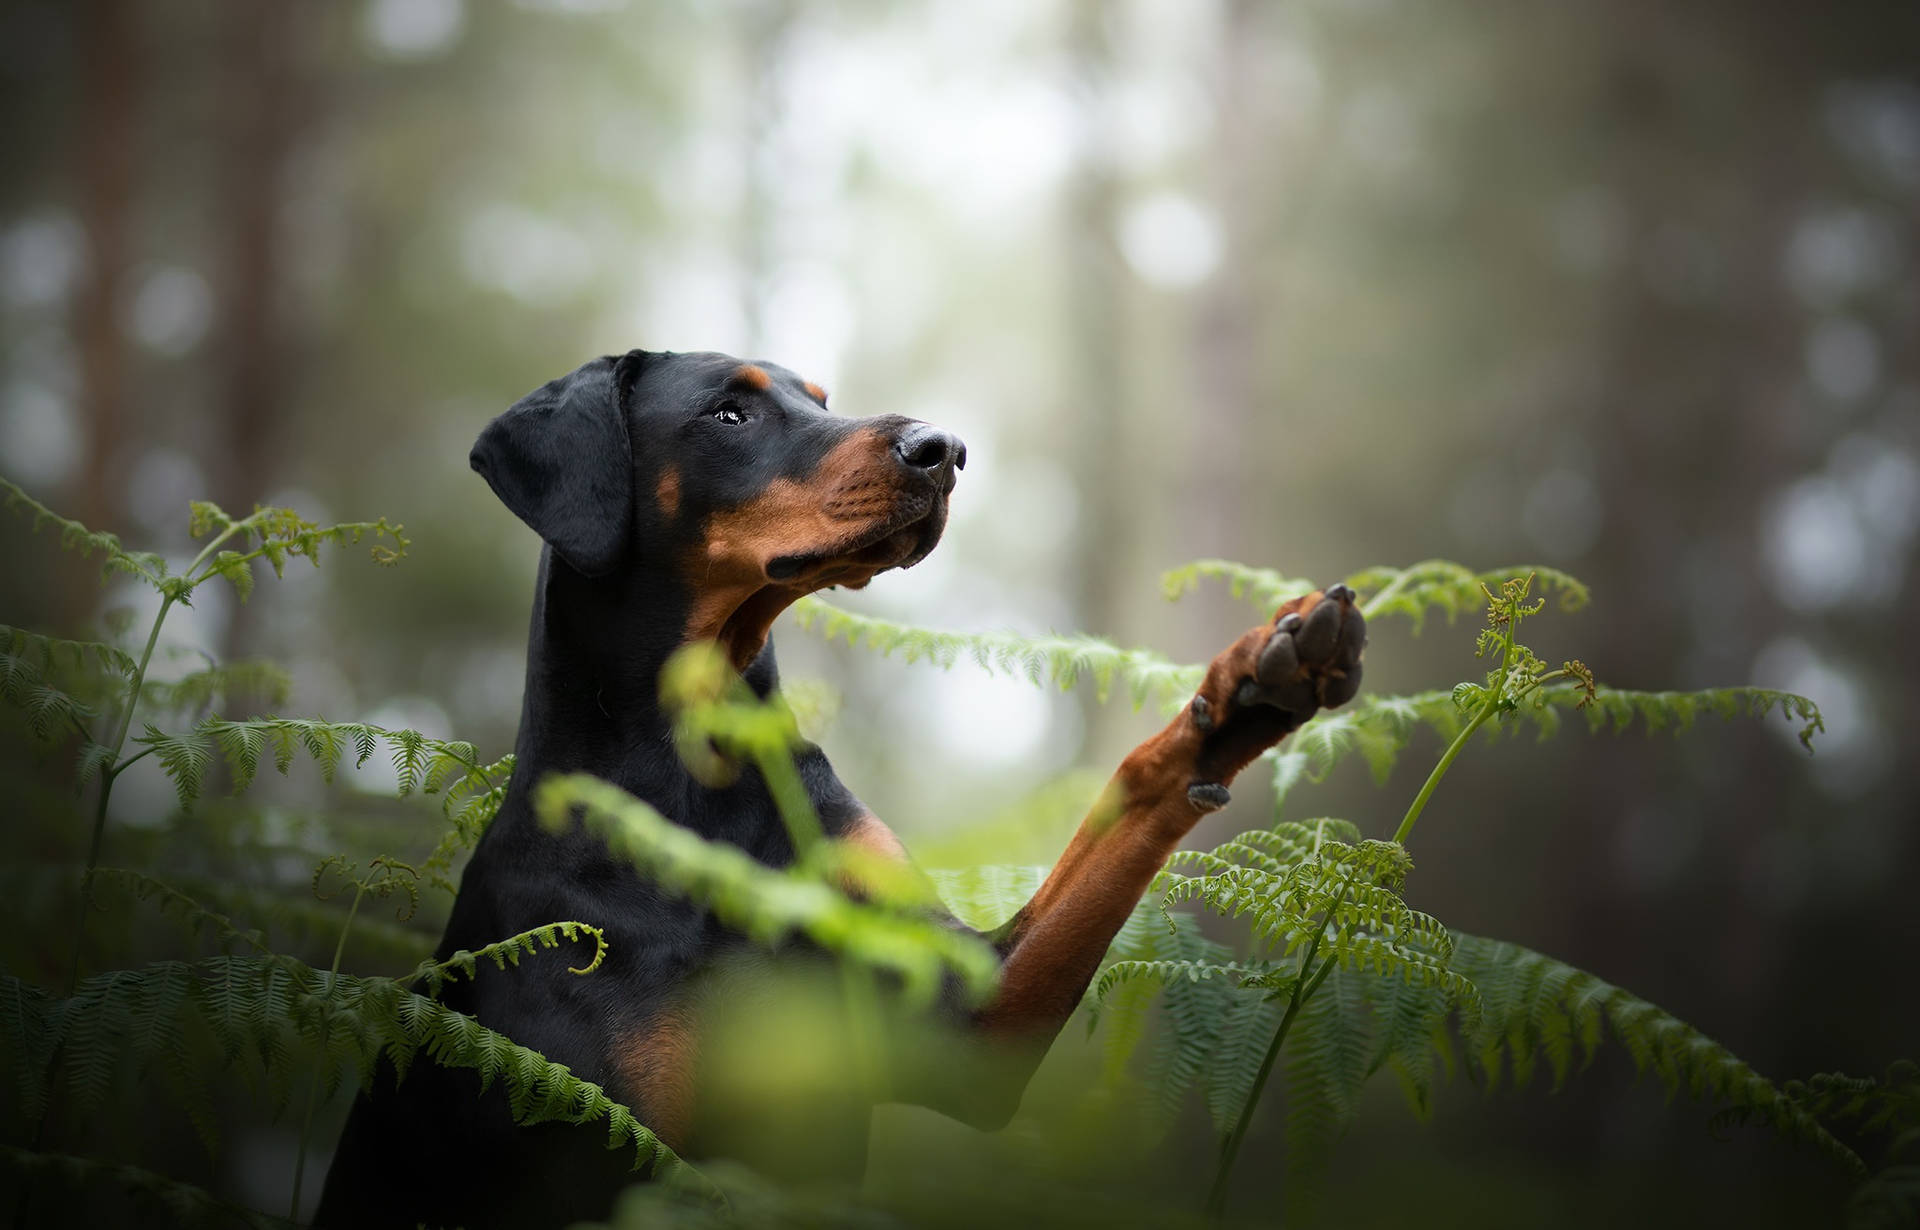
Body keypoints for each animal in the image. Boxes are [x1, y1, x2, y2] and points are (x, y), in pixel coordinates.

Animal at [314, 349, 1367, 1220]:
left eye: (819, 399)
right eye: (731, 412)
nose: (944, 449)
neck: (695, 783)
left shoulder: (976, 1022)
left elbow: (1129, 798)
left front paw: (1253, 687)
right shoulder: (597, 1133)